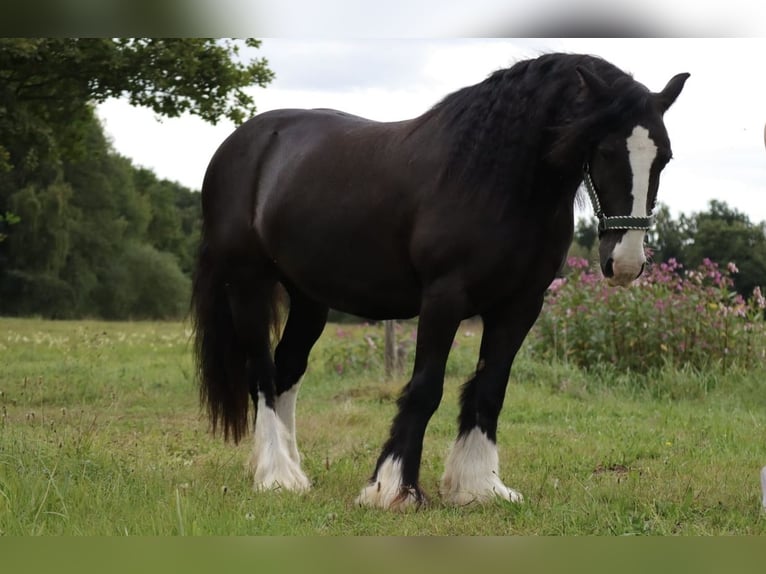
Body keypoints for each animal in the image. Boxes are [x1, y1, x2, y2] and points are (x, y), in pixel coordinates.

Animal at [192, 53, 689, 510]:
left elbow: (491, 388)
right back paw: (276, 476)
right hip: (247, 284)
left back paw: (293, 471)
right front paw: (393, 488)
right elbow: (426, 388)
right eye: (604, 150)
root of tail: (239, 144)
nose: (625, 263)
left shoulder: (521, 304)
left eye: (663, 158)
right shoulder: (444, 297)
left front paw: (480, 485)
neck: (495, 179)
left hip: (309, 297)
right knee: (262, 372)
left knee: (287, 370)